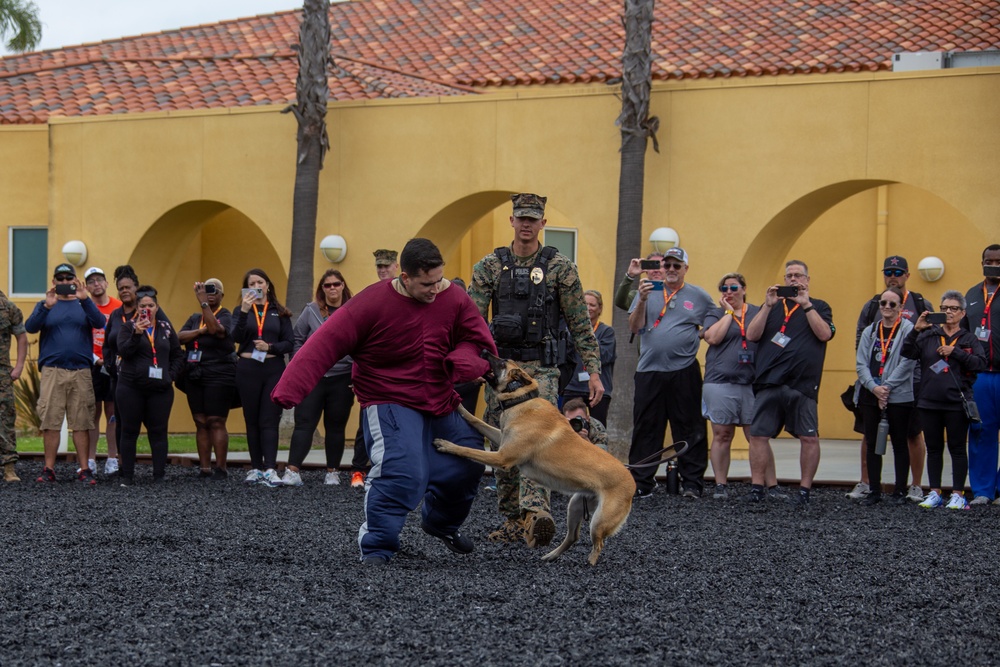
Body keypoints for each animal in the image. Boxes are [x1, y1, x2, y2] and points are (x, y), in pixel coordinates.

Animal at [434, 352, 636, 568]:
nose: (484, 351)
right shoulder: (500, 440)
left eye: (502, 362)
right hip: (575, 506)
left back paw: (589, 563)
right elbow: (475, 420)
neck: (521, 400)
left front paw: (446, 445)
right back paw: (551, 556)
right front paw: (458, 405)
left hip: (598, 521)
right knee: (573, 537)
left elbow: (468, 450)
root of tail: (632, 480)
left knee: (598, 544)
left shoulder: (502, 456)